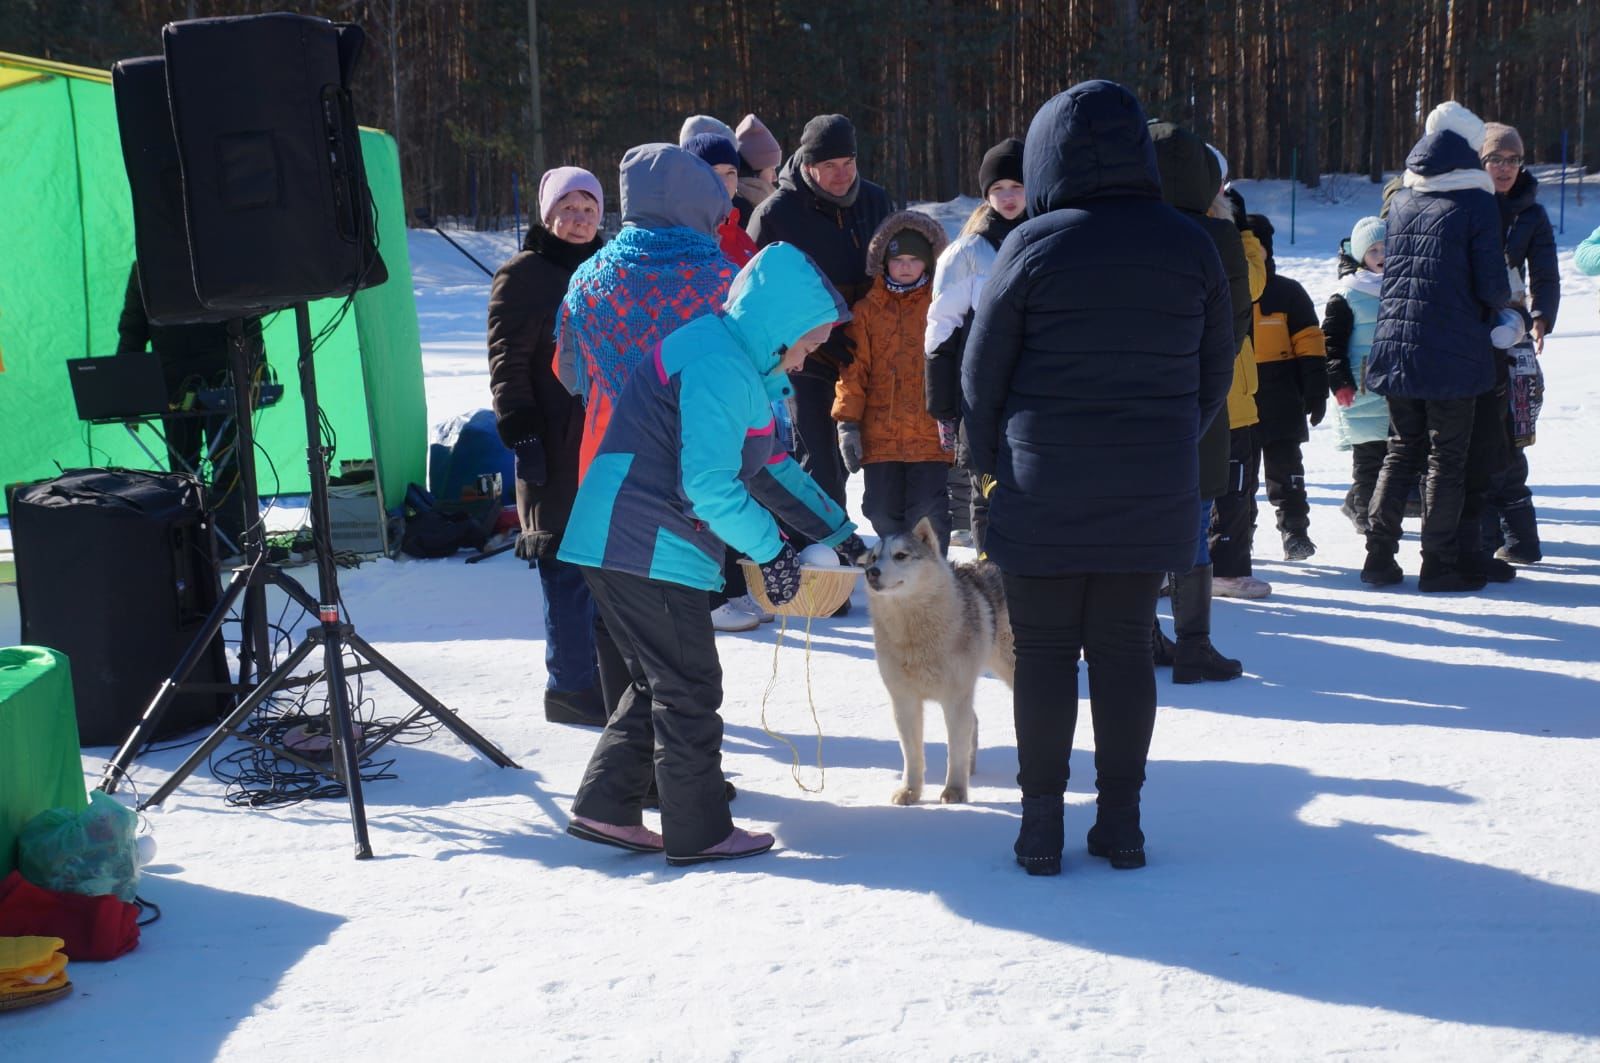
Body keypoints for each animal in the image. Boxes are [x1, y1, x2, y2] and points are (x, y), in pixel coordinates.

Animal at [864, 515, 1011, 806]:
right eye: (874, 557)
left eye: (900, 555)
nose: (871, 572)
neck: (913, 631)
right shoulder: (904, 701)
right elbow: (912, 754)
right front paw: (910, 791)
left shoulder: (954, 699)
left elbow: (954, 751)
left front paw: (955, 791)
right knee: (974, 722)